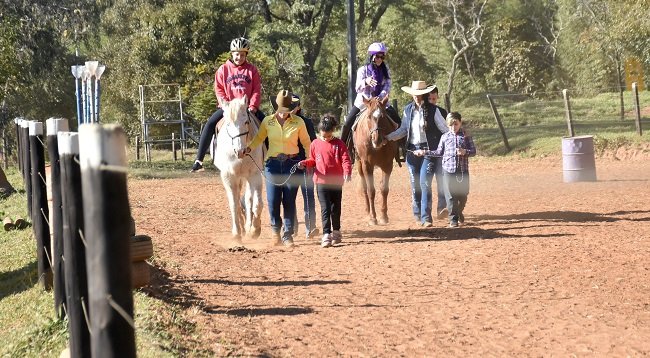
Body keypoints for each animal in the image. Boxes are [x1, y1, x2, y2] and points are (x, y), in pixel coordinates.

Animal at [214, 97, 262, 241]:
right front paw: (236, 233)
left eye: (246, 121)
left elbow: (256, 203)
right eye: (228, 124)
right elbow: (233, 203)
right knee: (237, 198)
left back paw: (248, 227)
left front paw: (254, 230)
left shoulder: (255, 174)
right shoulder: (229, 177)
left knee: (248, 199)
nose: (240, 151)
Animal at [352, 95, 398, 224]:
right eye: (368, 116)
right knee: (364, 188)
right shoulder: (367, 165)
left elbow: (384, 189)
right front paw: (373, 217)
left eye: (383, 116)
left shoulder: (388, 165)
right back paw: (368, 211)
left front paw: (384, 216)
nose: (376, 140)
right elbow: (371, 190)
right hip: (359, 164)